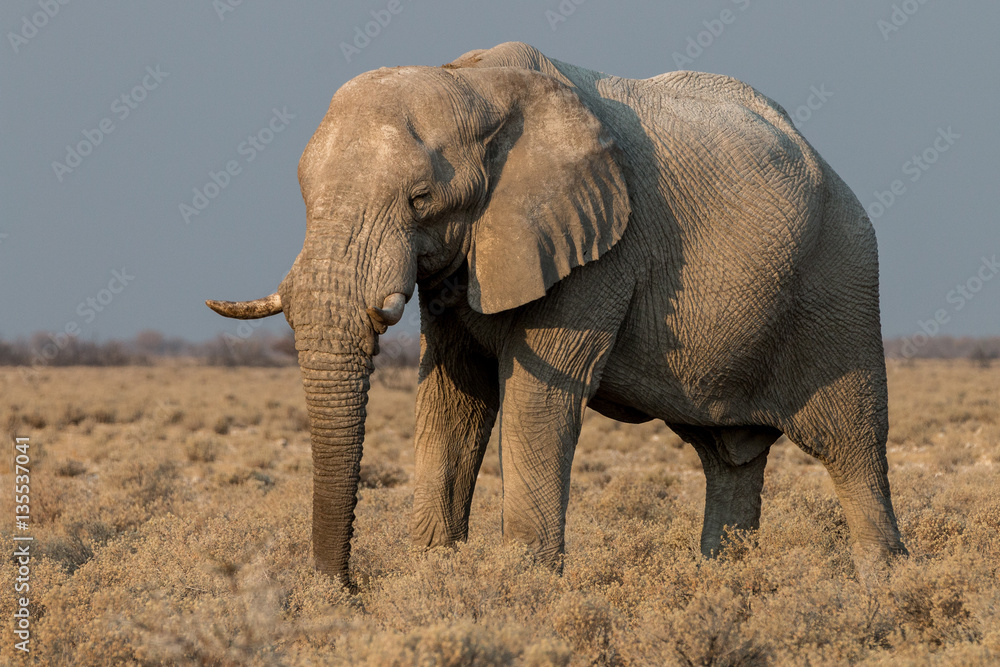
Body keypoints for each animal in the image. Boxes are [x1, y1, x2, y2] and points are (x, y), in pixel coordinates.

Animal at [207, 42, 906, 586]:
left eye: (420, 197)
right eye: (304, 194)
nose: (343, 590)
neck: (474, 83)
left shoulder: (600, 247)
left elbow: (537, 398)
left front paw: (521, 591)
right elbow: (454, 395)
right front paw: (434, 577)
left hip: (840, 283)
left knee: (852, 448)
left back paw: (886, 593)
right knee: (729, 460)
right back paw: (722, 585)